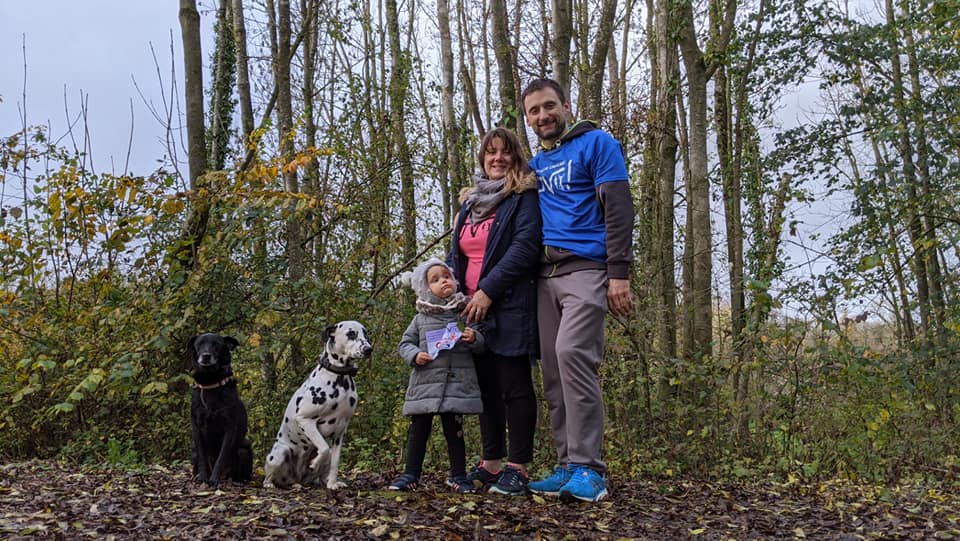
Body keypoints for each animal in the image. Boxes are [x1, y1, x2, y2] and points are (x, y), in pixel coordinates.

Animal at [187, 333, 253, 486]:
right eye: (199, 344)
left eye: (216, 344)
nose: (206, 356)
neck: (211, 383)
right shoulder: (197, 428)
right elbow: (202, 457)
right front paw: (203, 478)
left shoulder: (229, 428)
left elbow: (221, 457)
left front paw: (213, 480)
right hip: (193, 452)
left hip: (244, 450)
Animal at [263, 321, 373, 490]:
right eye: (351, 334)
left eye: (365, 334)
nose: (368, 349)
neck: (339, 378)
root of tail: (297, 479)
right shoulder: (305, 420)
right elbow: (324, 448)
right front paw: (315, 463)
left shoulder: (340, 432)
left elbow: (334, 461)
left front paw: (332, 483)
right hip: (279, 454)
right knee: (270, 477)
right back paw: (270, 484)